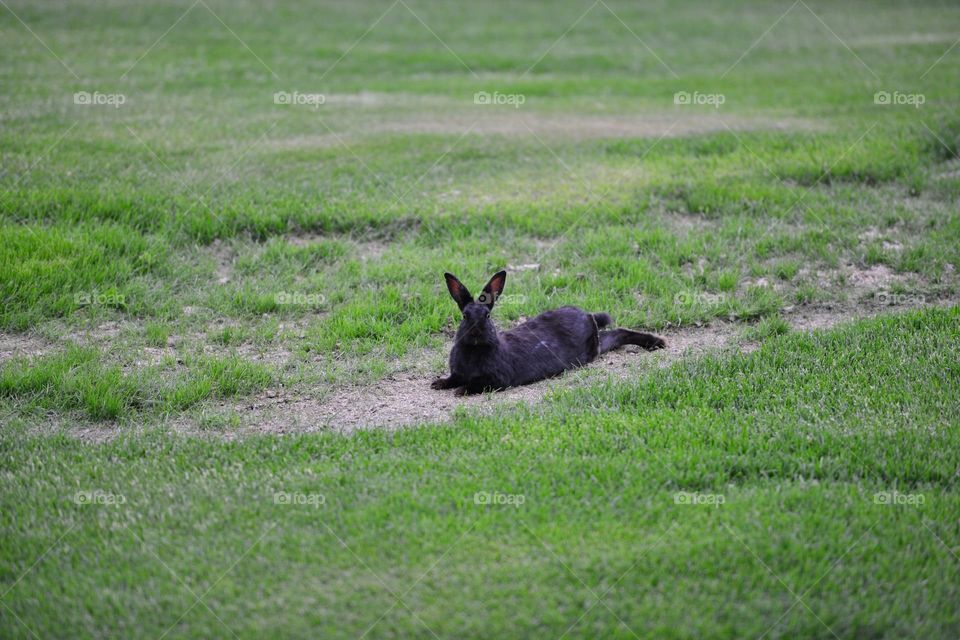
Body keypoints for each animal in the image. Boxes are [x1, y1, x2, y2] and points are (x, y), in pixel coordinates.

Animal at [431, 270, 666, 394]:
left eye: (487, 316)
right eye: (465, 316)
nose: (476, 333)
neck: (474, 350)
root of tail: (587, 315)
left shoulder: (496, 379)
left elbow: (475, 384)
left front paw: (461, 391)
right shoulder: (458, 373)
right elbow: (453, 378)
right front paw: (438, 383)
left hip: (592, 349)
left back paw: (657, 343)